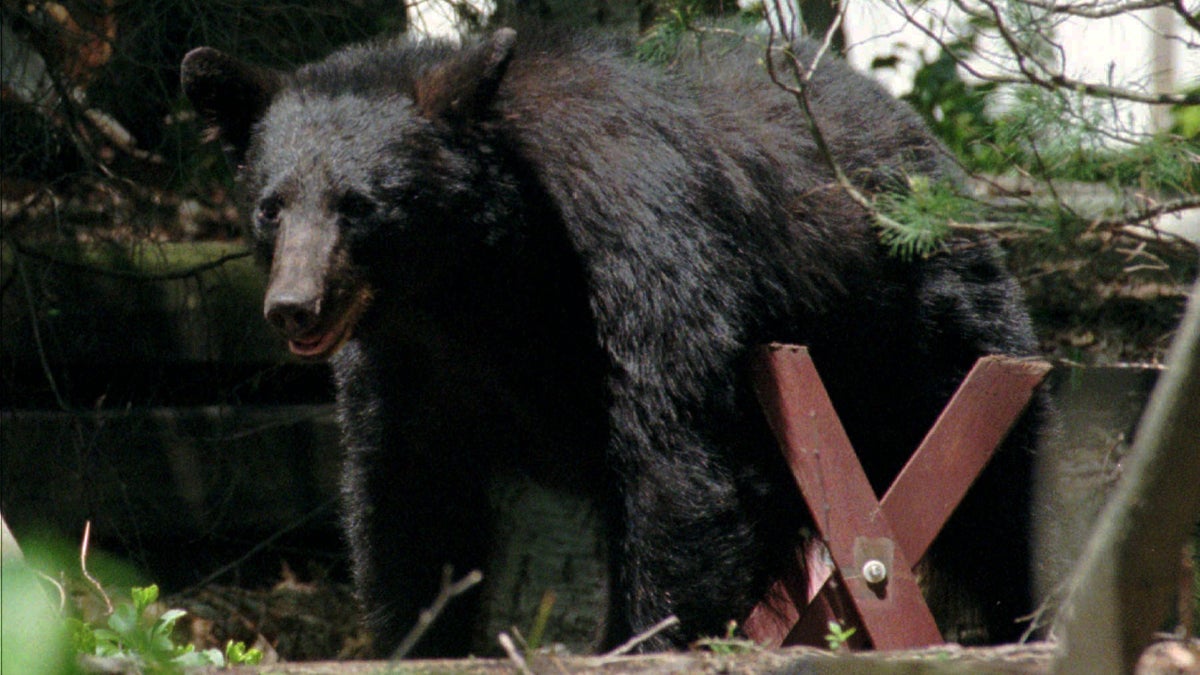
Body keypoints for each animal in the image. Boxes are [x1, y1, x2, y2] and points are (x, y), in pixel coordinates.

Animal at [180, 27, 1051, 653]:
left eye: (360, 203)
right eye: (271, 204)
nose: (293, 306)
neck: (482, 282)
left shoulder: (640, 256)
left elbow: (678, 464)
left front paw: (638, 640)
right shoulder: (406, 360)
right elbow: (408, 498)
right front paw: (416, 637)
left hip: (926, 344)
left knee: (998, 497)